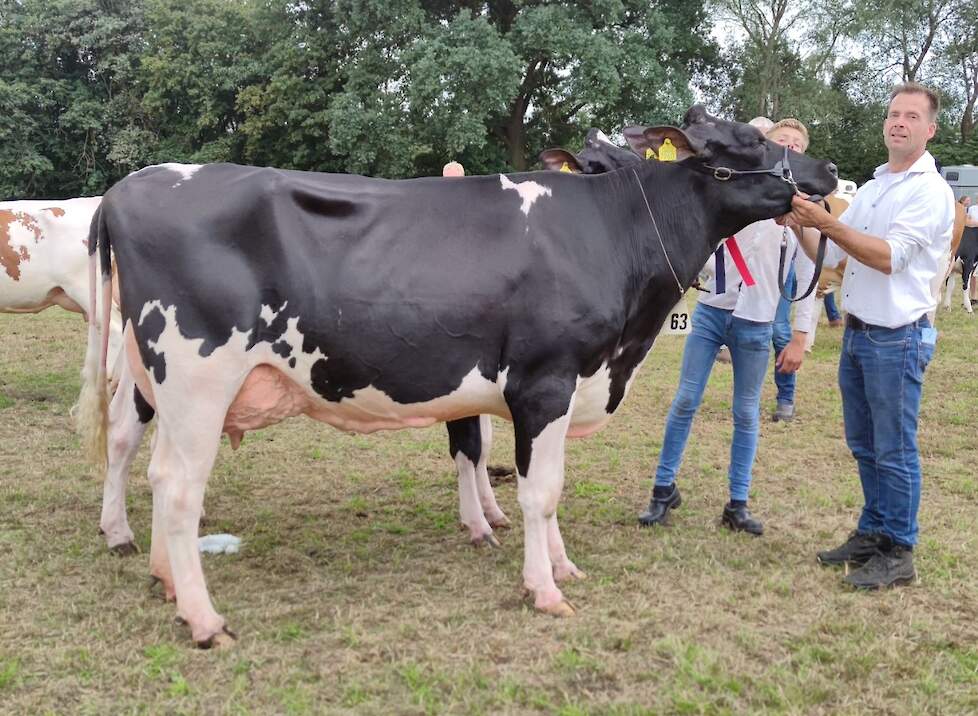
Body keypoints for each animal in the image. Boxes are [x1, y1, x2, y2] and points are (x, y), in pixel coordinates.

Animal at [80, 106, 836, 648]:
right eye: (748, 140)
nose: (827, 169)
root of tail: (126, 187)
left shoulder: (558, 388)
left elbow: (536, 483)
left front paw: (559, 564)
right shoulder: (545, 381)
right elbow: (538, 491)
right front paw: (544, 588)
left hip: (162, 383)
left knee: (150, 466)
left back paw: (164, 579)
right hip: (196, 377)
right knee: (174, 483)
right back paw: (203, 618)